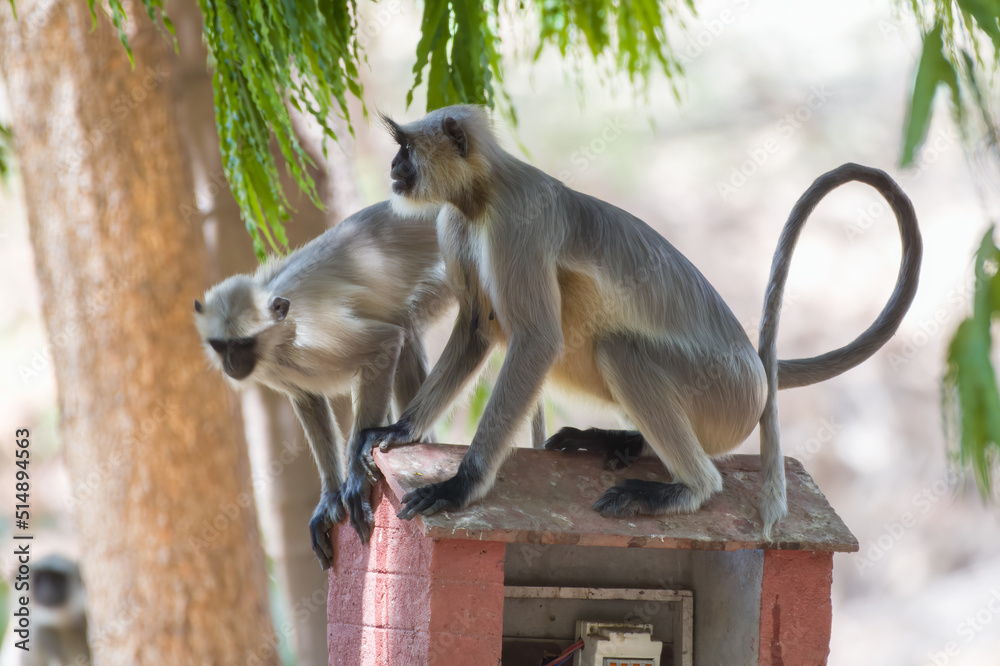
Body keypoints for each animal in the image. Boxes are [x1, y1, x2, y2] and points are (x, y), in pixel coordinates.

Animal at [194, 200, 547, 568]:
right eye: (221, 346)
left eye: (243, 344)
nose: (232, 364)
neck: (281, 341)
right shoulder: (279, 371)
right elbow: (308, 398)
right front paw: (331, 496)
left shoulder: (315, 337)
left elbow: (385, 344)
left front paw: (356, 479)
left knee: (405, 322)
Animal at [346, 105, 920, 539]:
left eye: (405, 148)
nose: (394, 165)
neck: (482, 194)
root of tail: (757, 367)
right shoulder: (454, 221)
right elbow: (476, 329)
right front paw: (399, 430)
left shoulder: (517, 222)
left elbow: (537, 341)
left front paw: (460, 485)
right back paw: (621, 442)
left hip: (725, 392)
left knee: (620, 350)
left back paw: (689, 488)